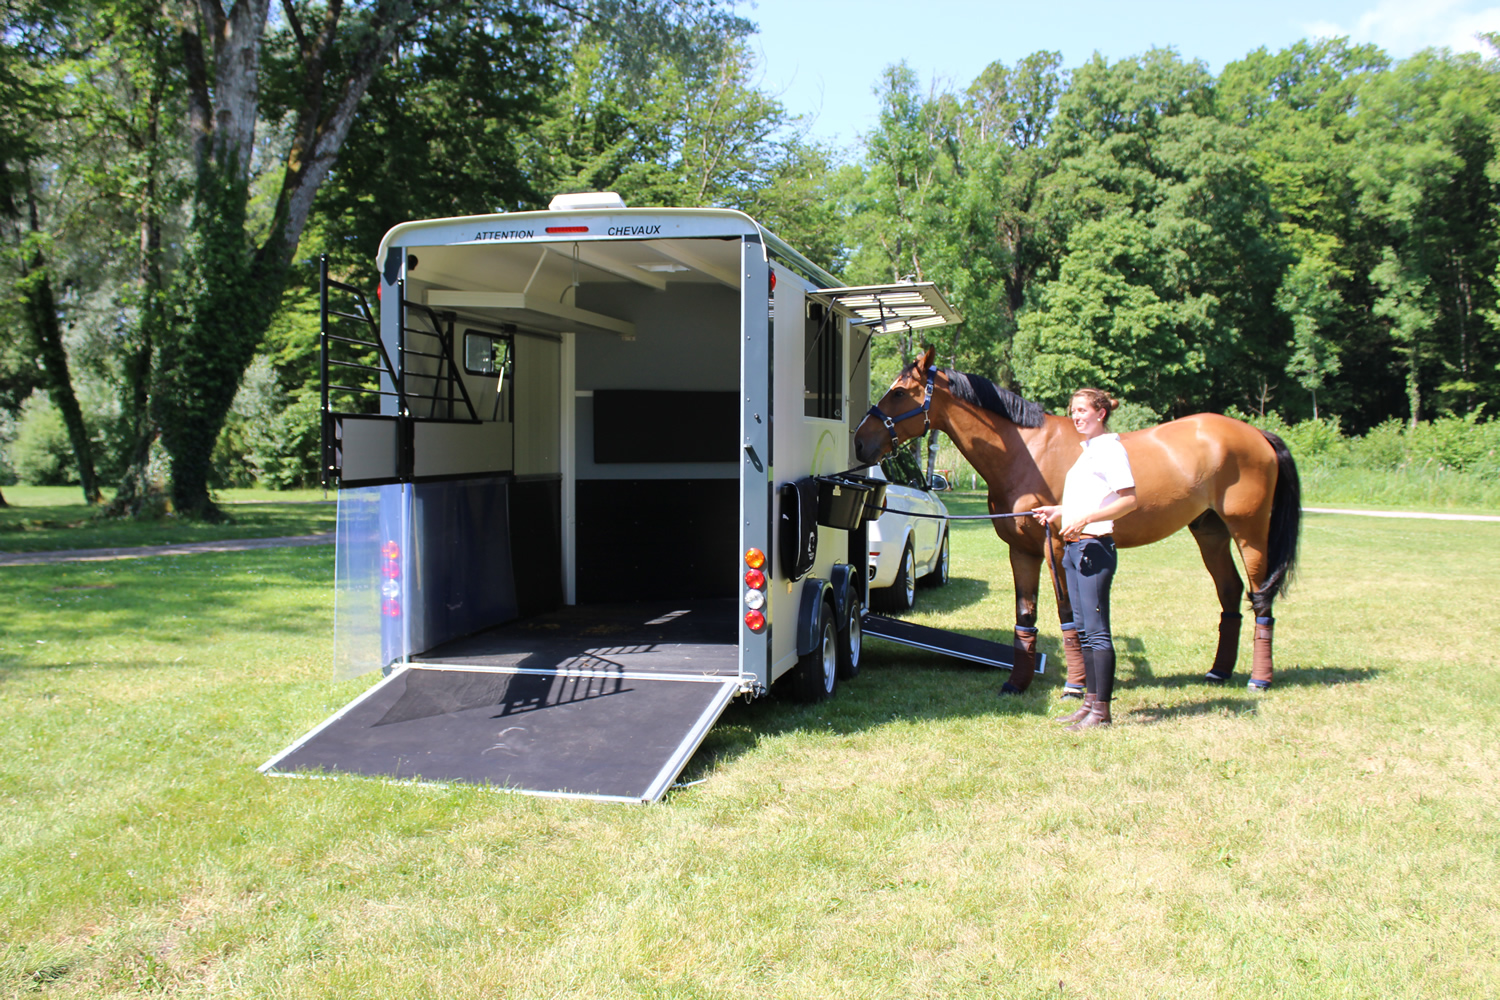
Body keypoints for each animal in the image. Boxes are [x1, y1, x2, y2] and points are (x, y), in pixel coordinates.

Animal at [858, 347, 1302, 692]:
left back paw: (1260, 679)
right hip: (1210, 531)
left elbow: (1068, 615)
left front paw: (1076, 685)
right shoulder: (1022, 550)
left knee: (1260, 597)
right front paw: (1017, 684)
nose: (861, 442)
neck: (1027, 453)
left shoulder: (1057, 546)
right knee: (1230, 594)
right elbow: (1026, 617)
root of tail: (1257, 434)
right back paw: (1218, 673)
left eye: (900, 391)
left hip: (1249, 533)